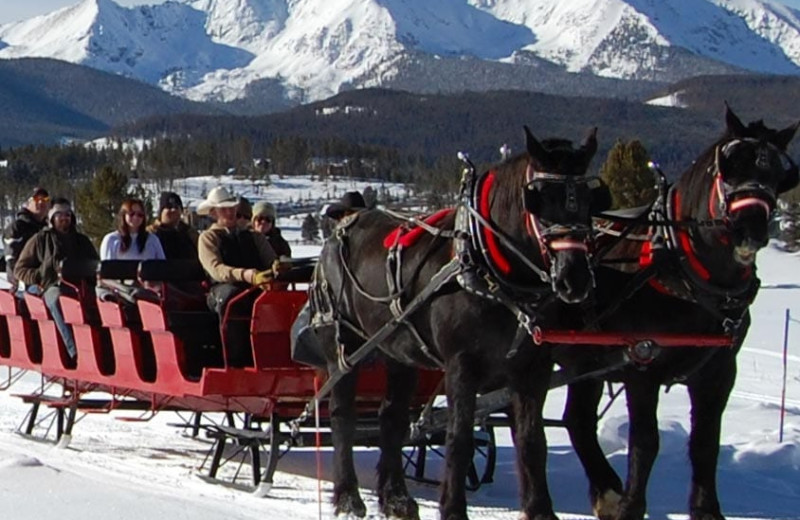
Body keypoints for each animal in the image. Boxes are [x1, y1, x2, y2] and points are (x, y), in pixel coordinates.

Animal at [310, 127, 608, 520]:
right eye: (537, 198)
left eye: (590, 198)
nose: (575, 278)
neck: (490, 269)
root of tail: (346, 219)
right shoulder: (462, 364)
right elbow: (460, 437)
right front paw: (452, 509)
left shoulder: (532, 368)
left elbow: (533, 440)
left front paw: (541, 510)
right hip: (344, 347)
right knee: (342, 416)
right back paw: (348, 496)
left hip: (399, 352)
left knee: (391, 419)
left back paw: (396, 498)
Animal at [552, 105, 796, 520]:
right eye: (729, 165)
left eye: (778, 173)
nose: (750, 228)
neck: (680, 268)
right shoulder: (641, 366)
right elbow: (645, 442)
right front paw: (632, 507)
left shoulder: (718, 373)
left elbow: (705, 444)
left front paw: (706, 510)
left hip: (585, 361)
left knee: (578, 421)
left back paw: (606, 491)